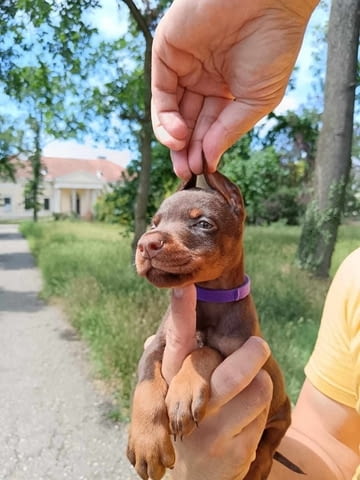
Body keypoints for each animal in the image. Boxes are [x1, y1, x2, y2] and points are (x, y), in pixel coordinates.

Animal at [128, 171, 294, 478]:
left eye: (203, 223)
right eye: (154, 223)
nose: (145, 244)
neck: (207, 296)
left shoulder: (238, 351)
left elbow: (206, 351)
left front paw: (184, 393)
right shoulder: (157, 344)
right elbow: (146, 380)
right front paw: (147, 443)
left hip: (282, 415)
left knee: (267, 447)